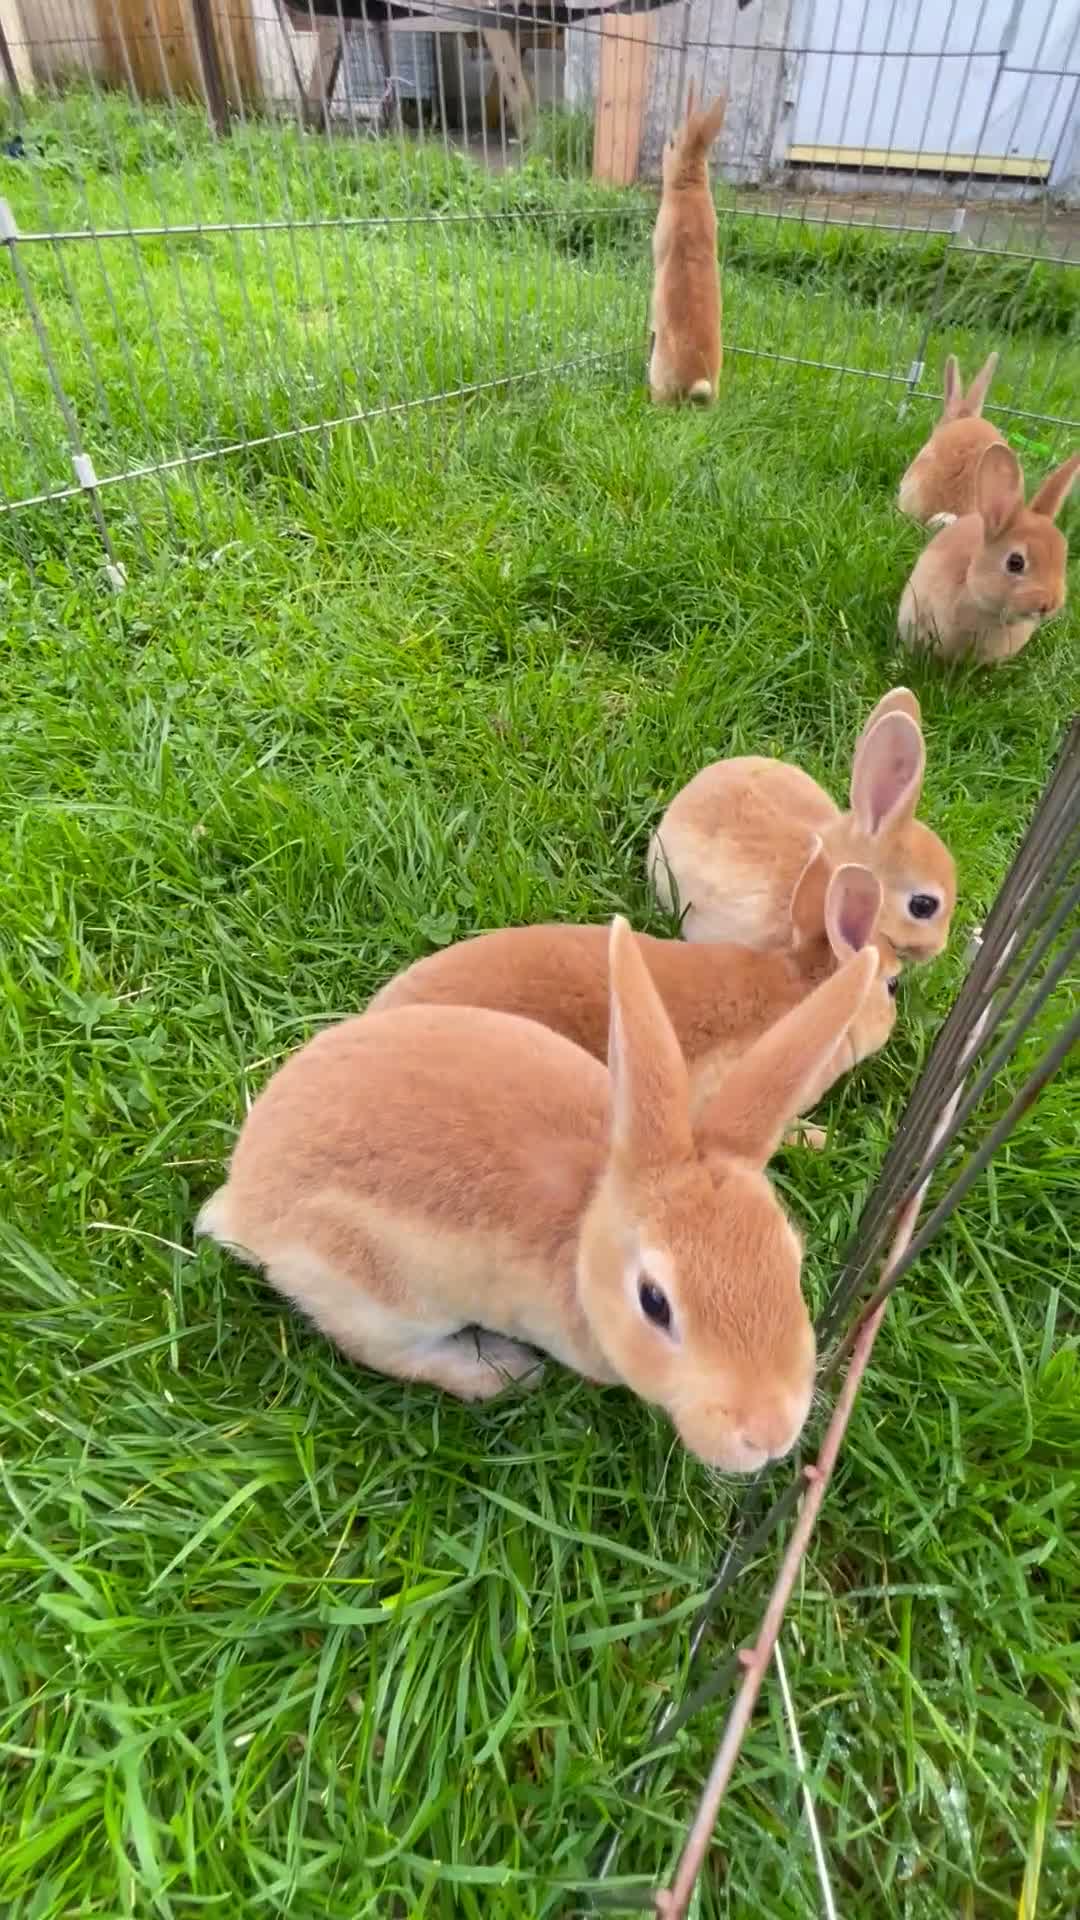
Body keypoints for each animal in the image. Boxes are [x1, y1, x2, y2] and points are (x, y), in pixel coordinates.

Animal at [199, 918, 880, 1473]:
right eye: (654, 1302)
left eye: (791, 1258)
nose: (770, 1434)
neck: (584, 1234)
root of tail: (242, 1202)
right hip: (375, 1293)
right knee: (387, 1353)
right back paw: (503, 1372)